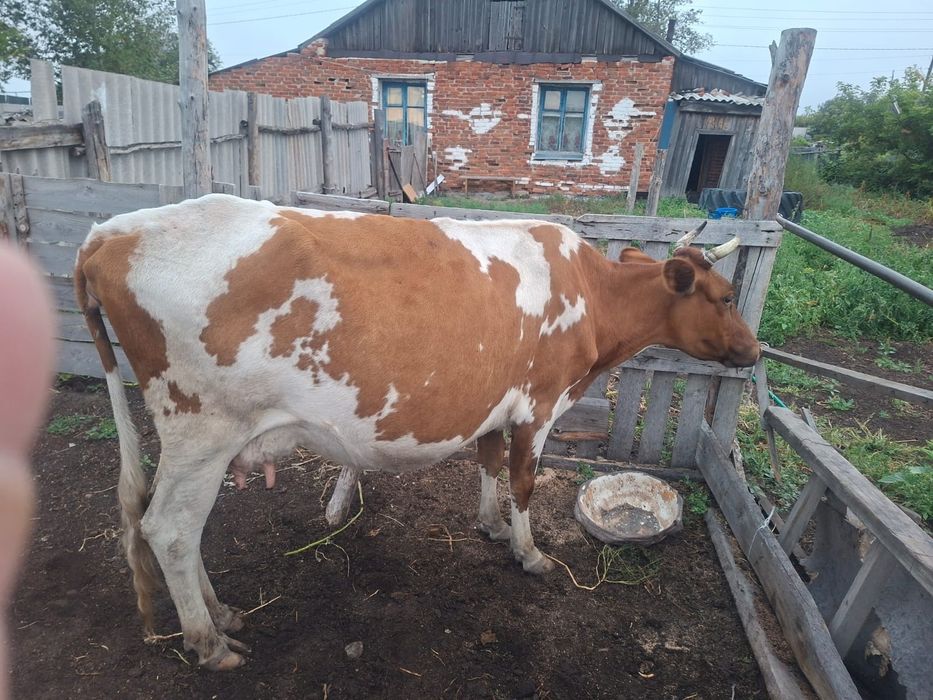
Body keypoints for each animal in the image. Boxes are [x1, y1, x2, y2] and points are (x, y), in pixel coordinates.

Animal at [74, 194, 759, 670]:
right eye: (726, 297)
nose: (755, 352)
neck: (590, 296)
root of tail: (113, 231)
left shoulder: (496, 405)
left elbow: (488, 464)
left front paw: (489, 525)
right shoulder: (538, 405)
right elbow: (525, 482)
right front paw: (530, 553)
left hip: (199, 442)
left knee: (173, 526)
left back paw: (224, 615)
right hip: (202, 429)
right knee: (169, 528)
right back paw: (209, 641)